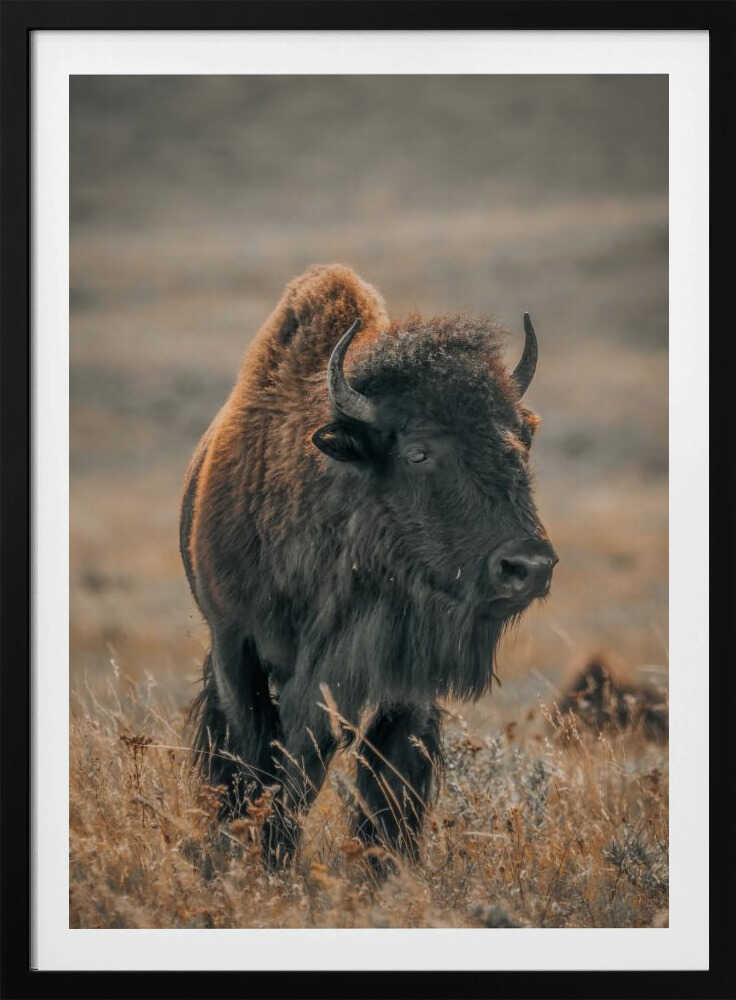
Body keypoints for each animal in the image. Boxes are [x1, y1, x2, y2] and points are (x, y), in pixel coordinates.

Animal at [180, 264, 556, 869]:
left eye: (520, 441)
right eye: (418, 452)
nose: (528, 567)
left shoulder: (402, 681)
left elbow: (388, 782)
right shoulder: (236, 646)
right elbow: (262, 760)